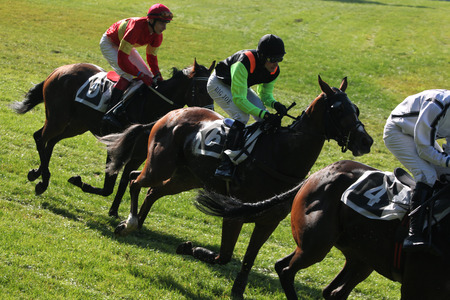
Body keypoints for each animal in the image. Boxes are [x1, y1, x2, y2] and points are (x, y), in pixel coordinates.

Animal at [10, 59, 214, 218]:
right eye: (200, 90)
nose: (209, 115)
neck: (151, 105)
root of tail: (60, 69)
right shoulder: (115, 147)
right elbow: (109, 184)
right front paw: (79, 182)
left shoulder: (138, 154)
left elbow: (125, 181)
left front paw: (114, 211)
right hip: (57, 118)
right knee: (39, 137)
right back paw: (43, 181)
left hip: (77, 124)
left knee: (50, 142)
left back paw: (37, 173)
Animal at [103, 75, 374, 298]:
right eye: (338, 109)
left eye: (356, 108)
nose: (366, 141)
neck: (280, 155)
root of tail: (170, 115)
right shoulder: (234, 214)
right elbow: (224, 256)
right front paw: (189, 247)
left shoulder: (268, 220)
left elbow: (248, 259)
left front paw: (237, 290)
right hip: (160, 166)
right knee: (135, 179)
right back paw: (129, 223)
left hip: (185, 177)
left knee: (152, 190)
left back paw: (138, 222)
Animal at [196, 161, 450, 298]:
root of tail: (318, 173)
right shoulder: (418, 287)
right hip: (316, 245)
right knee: (287, 270)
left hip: (360, 257)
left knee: (330, 290)